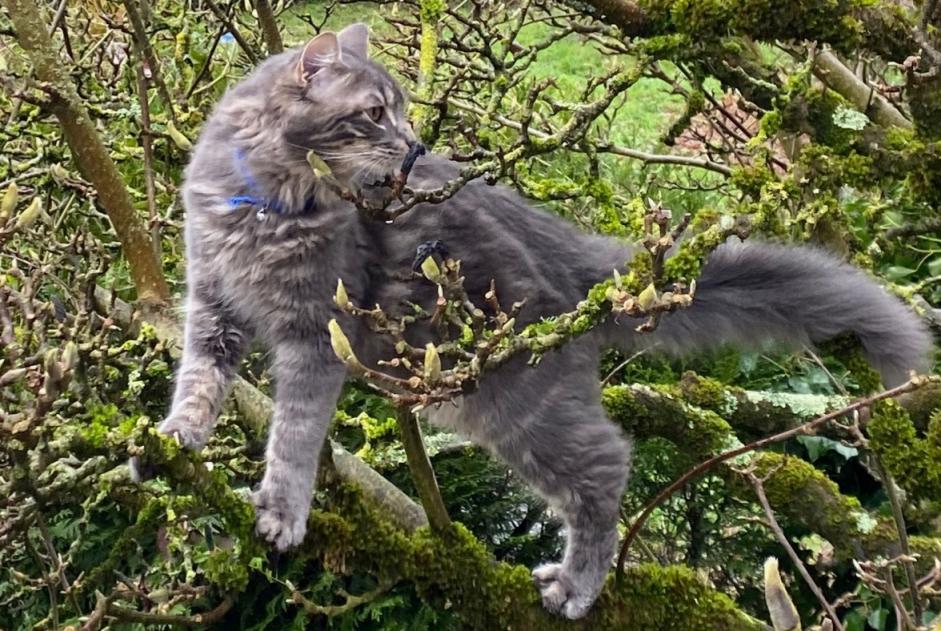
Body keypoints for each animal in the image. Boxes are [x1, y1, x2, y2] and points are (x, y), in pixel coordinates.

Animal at [138, 23, 932, 616]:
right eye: (372, 113)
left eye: (400, 109)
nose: (413, 146)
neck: (261, 204)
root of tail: (575, 257)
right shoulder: (212, 309)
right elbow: (200, 383)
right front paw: (174, 438)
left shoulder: (314, 338)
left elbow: (296, 435)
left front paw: (281, 510)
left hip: (514, 404)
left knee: (607, 465)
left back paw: (576, 586)